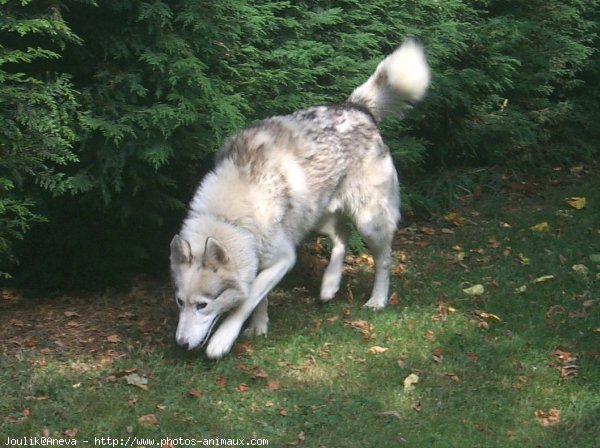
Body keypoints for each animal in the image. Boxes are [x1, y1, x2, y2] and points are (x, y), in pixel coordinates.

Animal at [171, 40, 428, 358]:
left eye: (202, 305)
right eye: (180, 301)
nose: (181, 343)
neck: (230, 216)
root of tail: (357, 107)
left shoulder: (283, 258)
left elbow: (248, 299)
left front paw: (223, 339)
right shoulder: (263, 258)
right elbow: (258, 297)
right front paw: (259, 326)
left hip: (370, 222)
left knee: (383, 259)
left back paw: (377, 299)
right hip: (314, 216)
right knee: (341, 236)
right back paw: (329, 284)